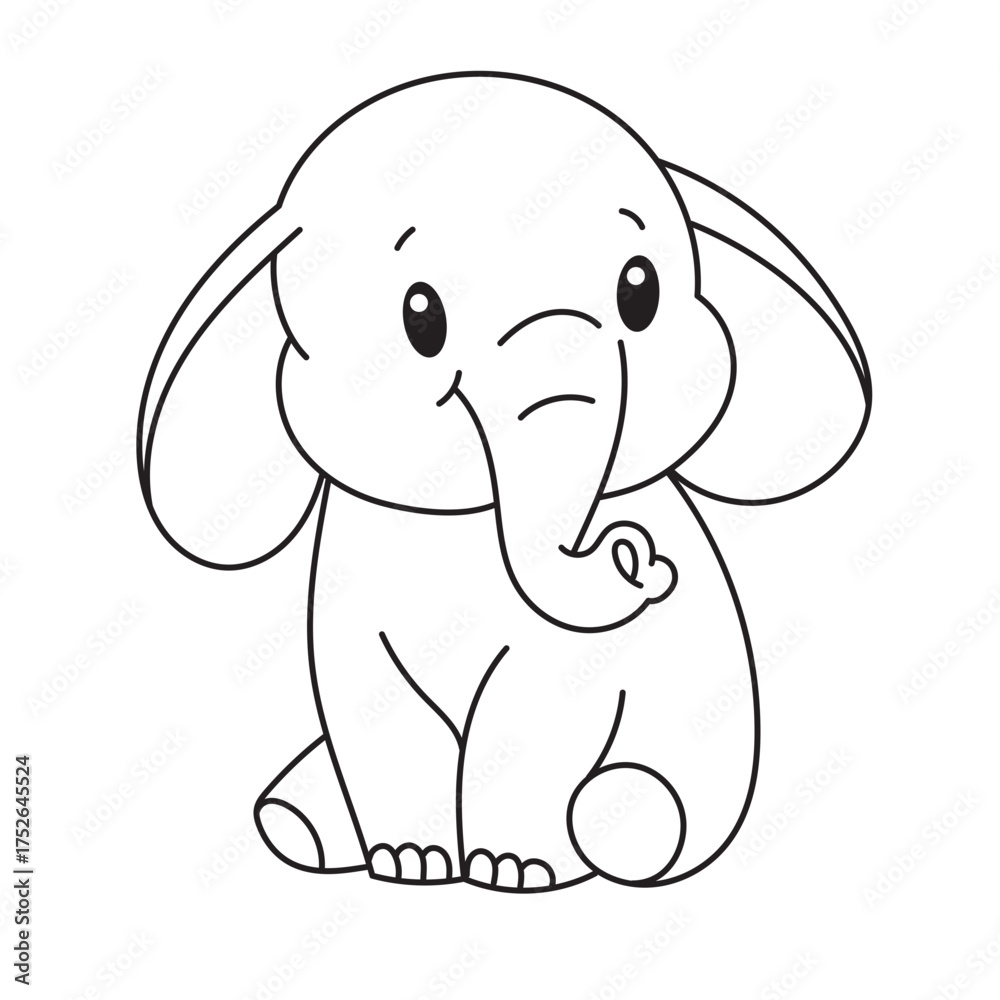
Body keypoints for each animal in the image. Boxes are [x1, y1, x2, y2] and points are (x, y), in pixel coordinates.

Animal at [137, 71, 870, 891]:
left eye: (640, 292)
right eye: (420, 318)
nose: (637, 560)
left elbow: (536, 706)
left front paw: (511, 869)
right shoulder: (343, 595)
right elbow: (369, 700)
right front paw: (411, 863)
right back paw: (302, 825)